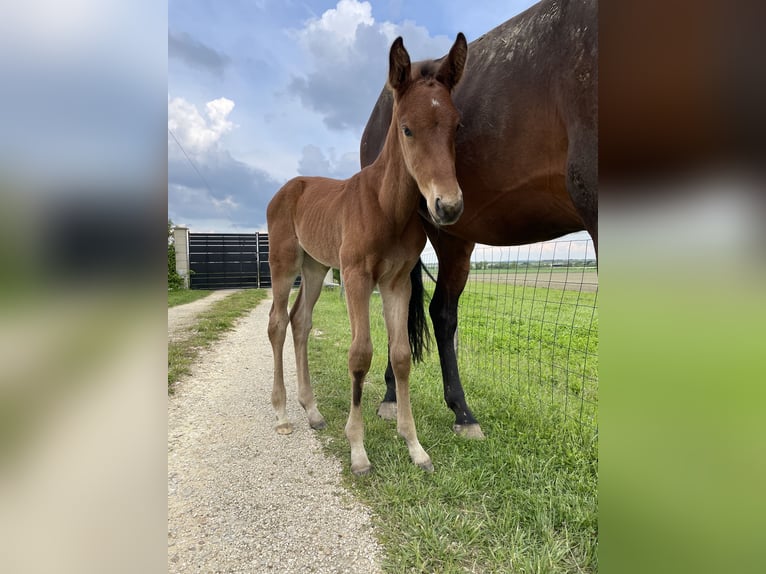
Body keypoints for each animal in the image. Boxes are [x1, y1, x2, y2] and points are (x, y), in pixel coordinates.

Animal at [268, 32, 468, 476]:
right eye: (407, 129)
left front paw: (415, 447)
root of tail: (289, 187)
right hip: (284, 262)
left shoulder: (396, 282)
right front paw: (358, 451)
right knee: (277, 323)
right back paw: (283, 413)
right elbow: (360, 355)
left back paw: (312, 411)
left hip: (316, 266)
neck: (386, 207)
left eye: (456, 125)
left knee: (300, 321)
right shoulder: (357, 276)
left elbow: (400, 357)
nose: (448, 206)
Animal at [360, 0, 600, 438]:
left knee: (439, 313)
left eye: (459, 127)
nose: (448, 204)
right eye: (406, 129)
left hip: (456, 240)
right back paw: (398, 399)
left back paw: (459, 412)